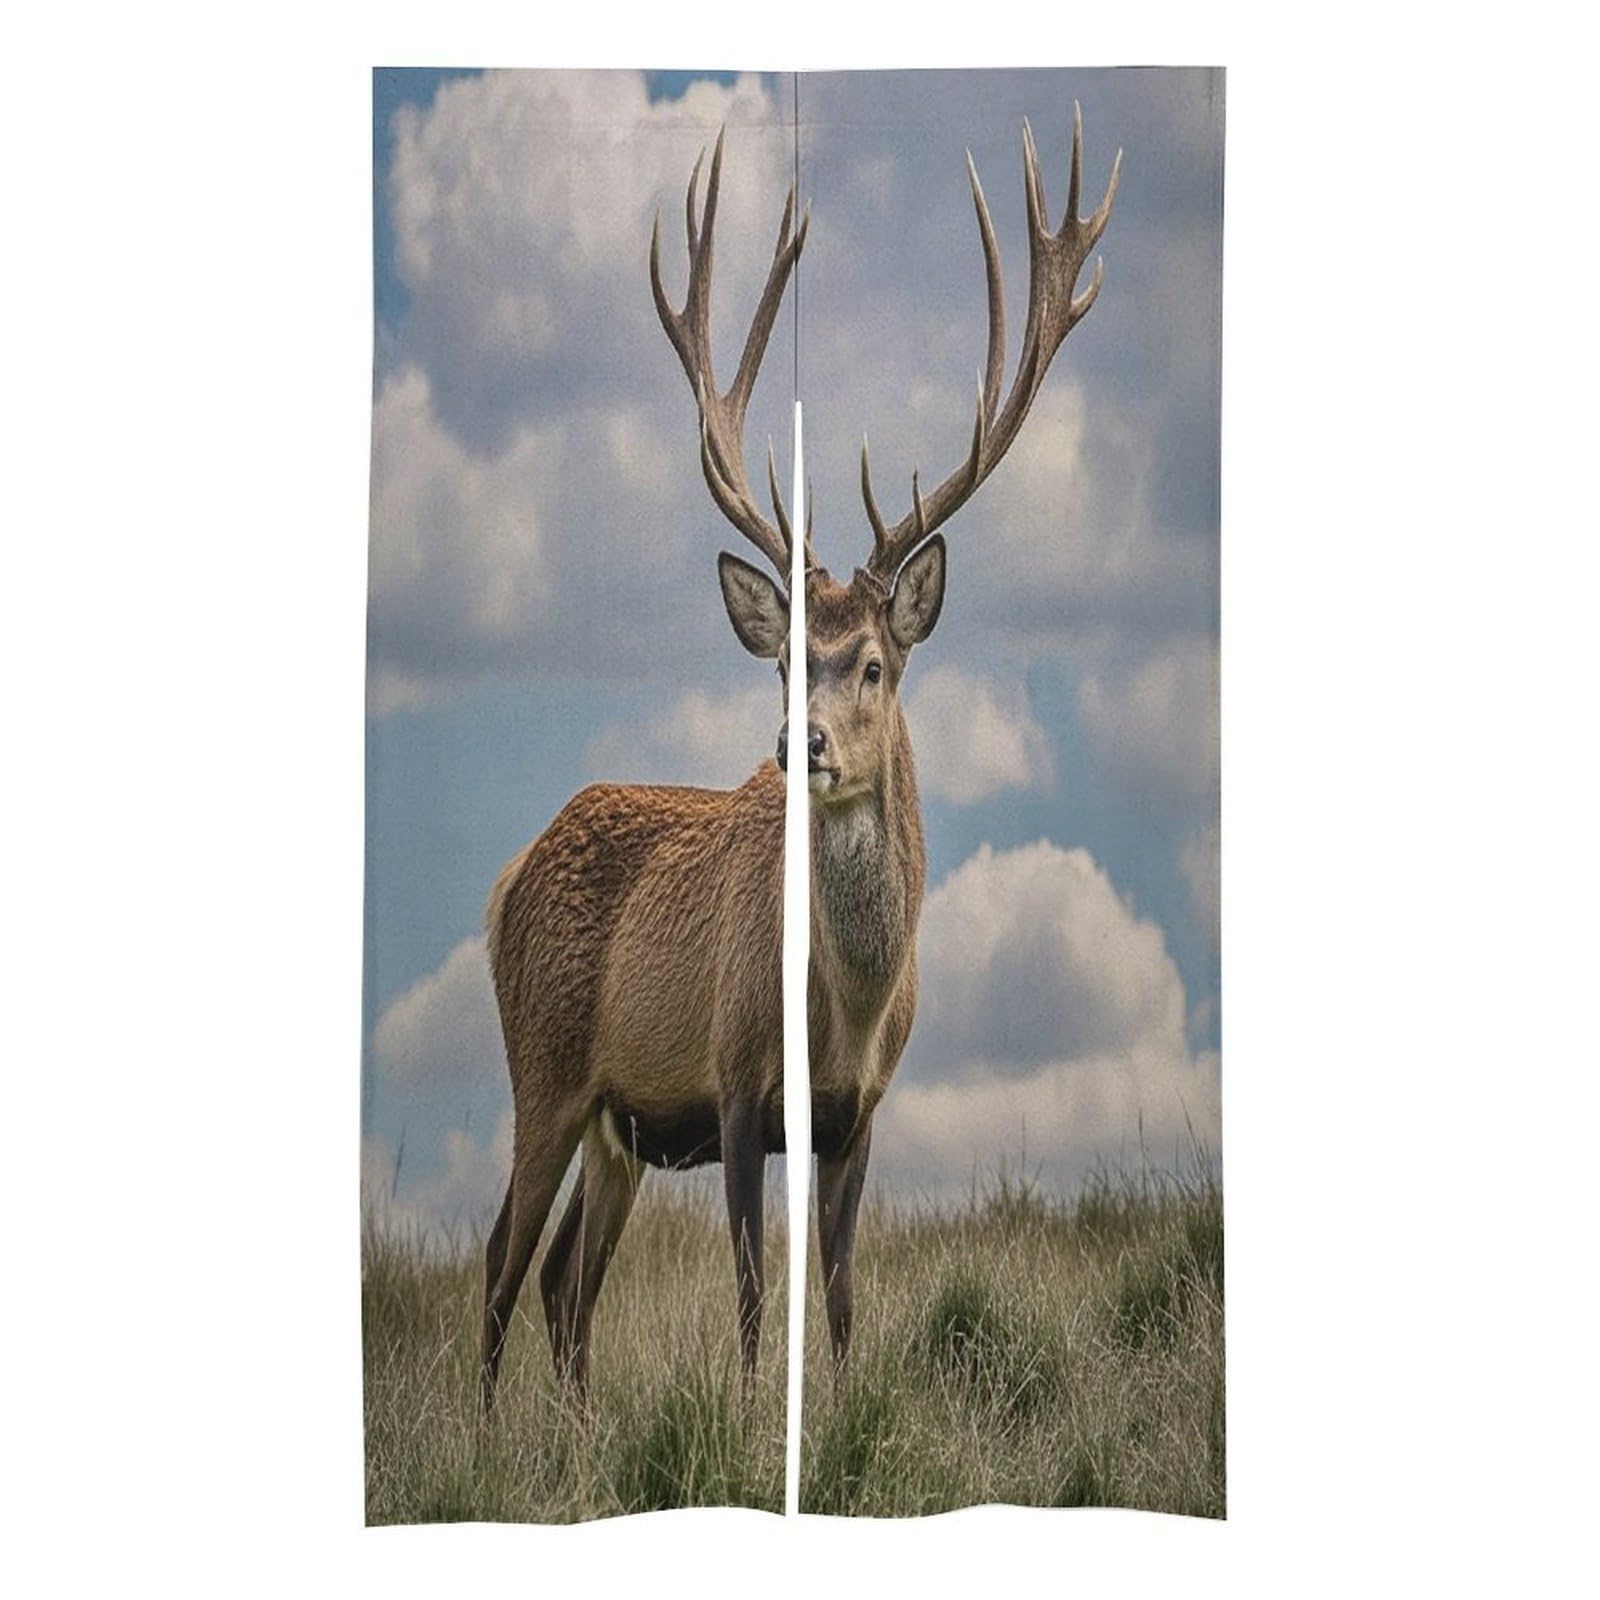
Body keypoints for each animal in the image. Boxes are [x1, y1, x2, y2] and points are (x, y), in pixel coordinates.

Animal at [479, 109, 1119, 1414]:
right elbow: (747, 1292)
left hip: (616, 1124)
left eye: (871, 661)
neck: (843, 1010)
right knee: (500, 1267)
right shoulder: (730, 1080)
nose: (799, 743)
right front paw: (743, 1413)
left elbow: (837, 1298)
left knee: (567, 1283)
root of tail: (507, 879)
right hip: (545, 1066)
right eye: (786, 662)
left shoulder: (859, 1113)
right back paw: (481, 1433)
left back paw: (573, 1437)